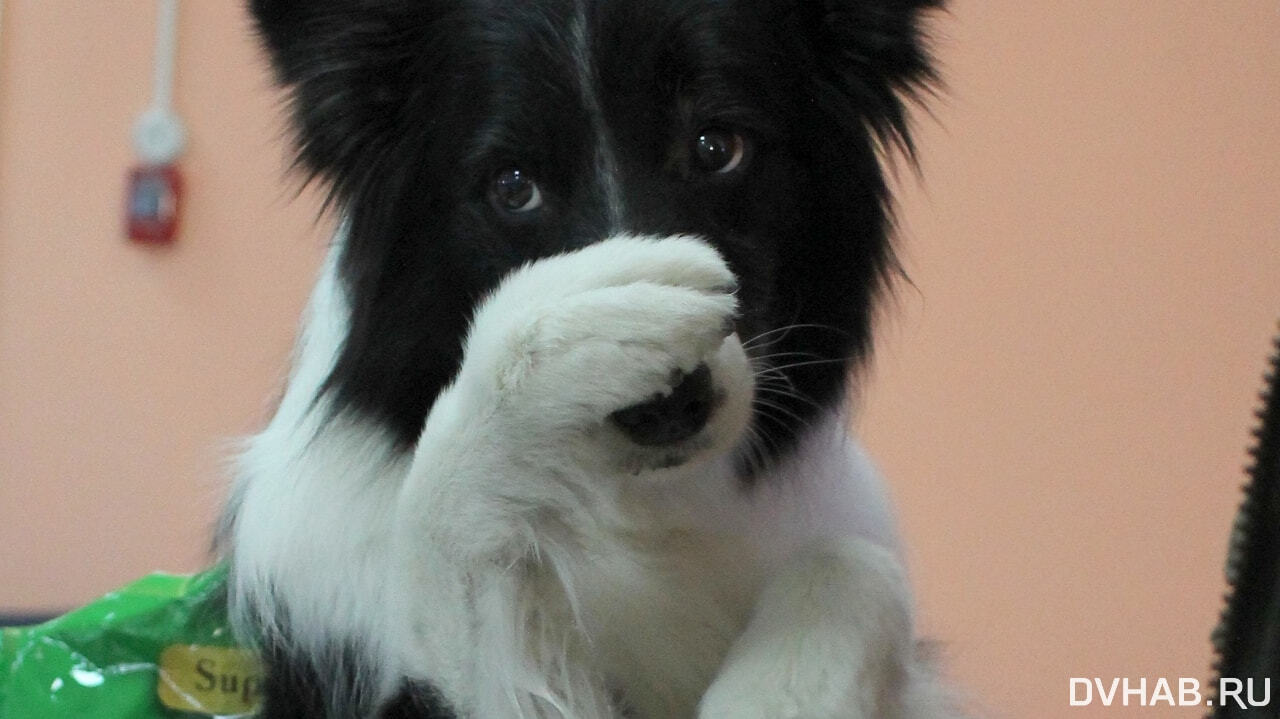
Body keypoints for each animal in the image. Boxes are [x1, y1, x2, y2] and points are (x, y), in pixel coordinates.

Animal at [220, 1, 962, 716]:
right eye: (513, 186)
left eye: (717, 147)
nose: (669, 408)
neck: (640, 511)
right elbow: (440, 537)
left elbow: (855, 560)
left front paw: (777, 690)